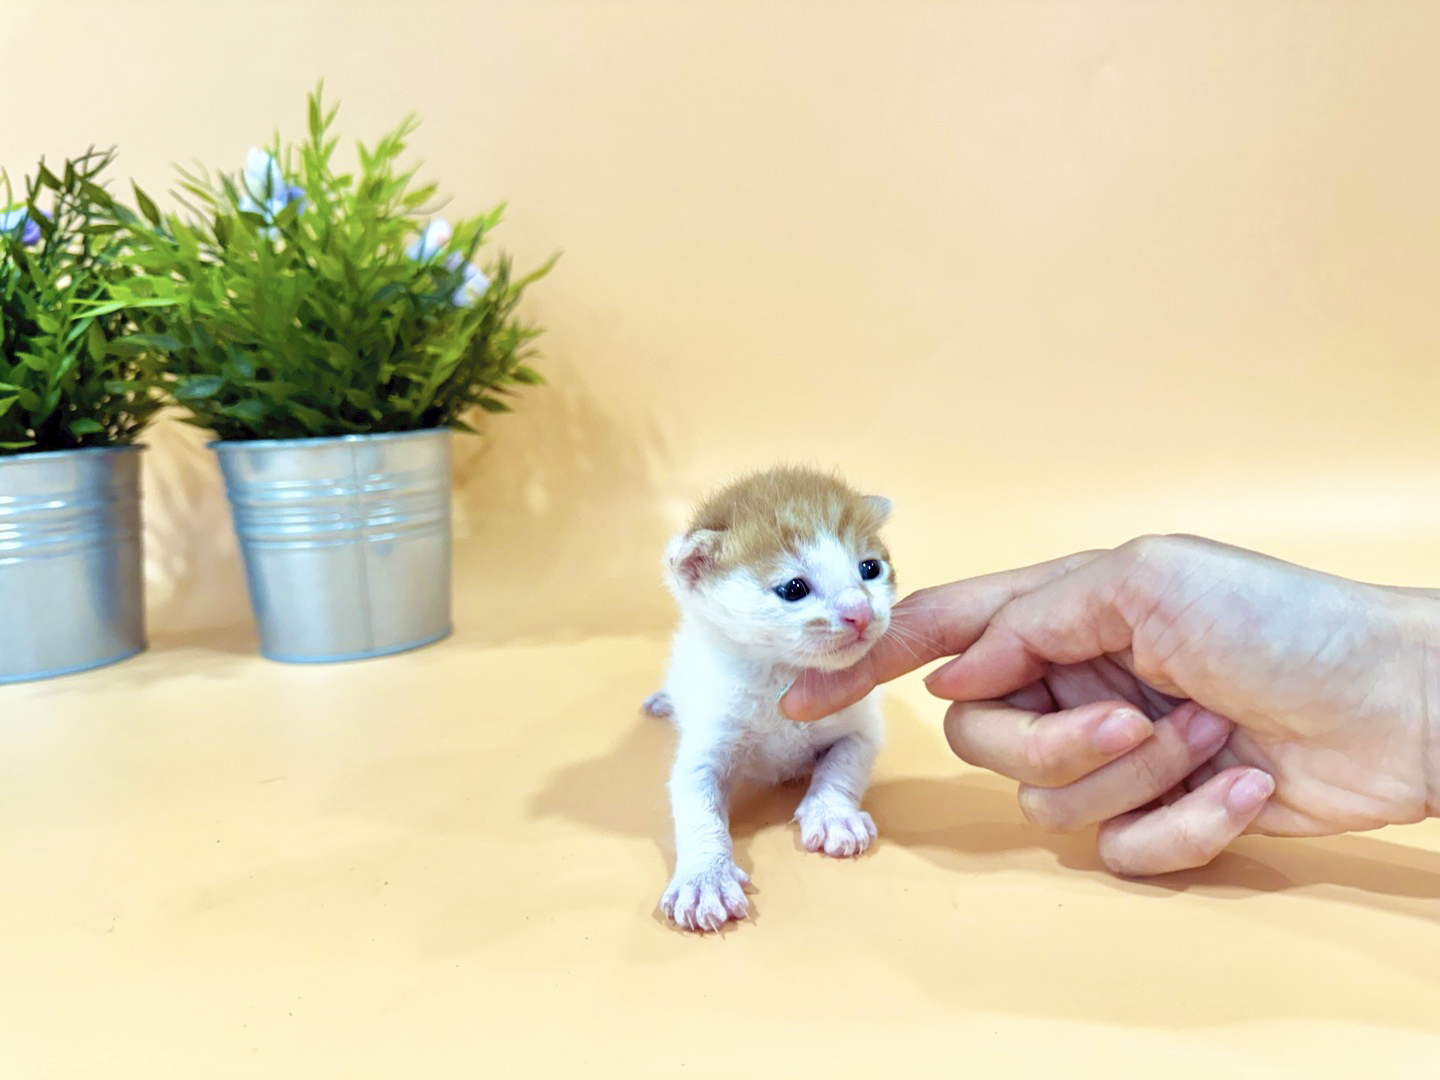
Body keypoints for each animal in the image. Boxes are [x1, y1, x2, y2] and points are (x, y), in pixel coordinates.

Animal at [648, 466, 892, 933]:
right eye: (794, 588)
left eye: (870, 568)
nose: (861, 611)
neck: (784, 674)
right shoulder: (707, 739)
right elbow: (696, 805)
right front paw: (704, 878)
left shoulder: (860, 723)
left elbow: (844, 764)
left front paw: (832, 814)